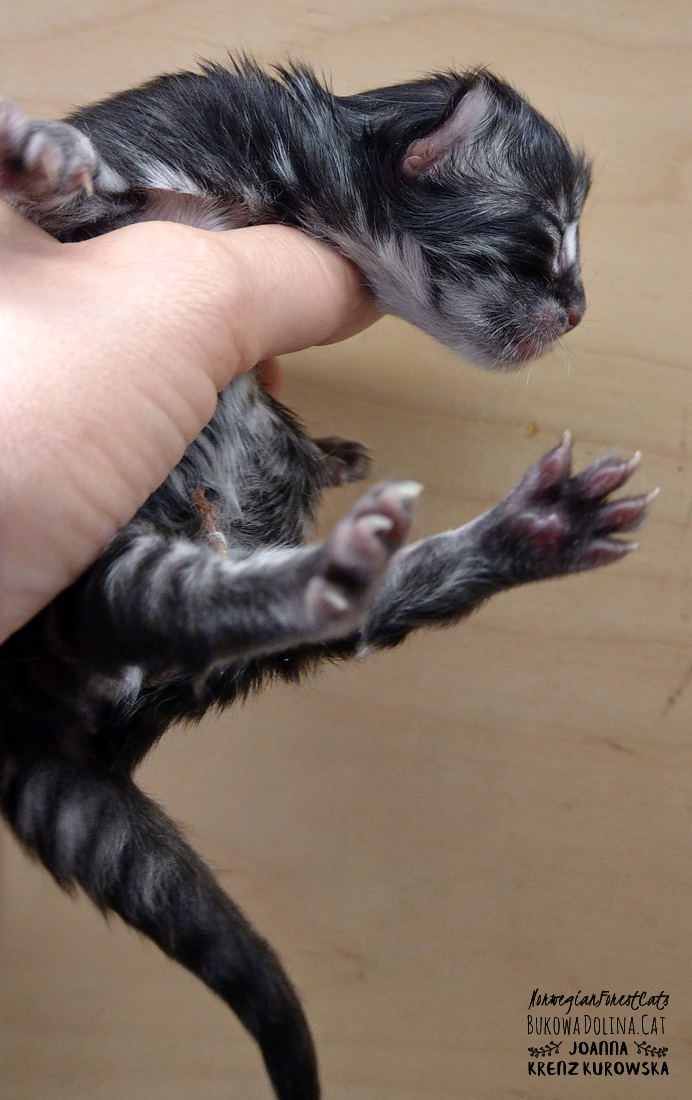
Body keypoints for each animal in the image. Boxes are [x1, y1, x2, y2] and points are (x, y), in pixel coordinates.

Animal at [0, 61, 651, 1100]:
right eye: (542, 241)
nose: (582, 308)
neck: (300, 175)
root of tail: (43, 728)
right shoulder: (148, 152)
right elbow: (69, 187)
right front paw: (40, 152)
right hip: (100, 571)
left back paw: (519, 533)